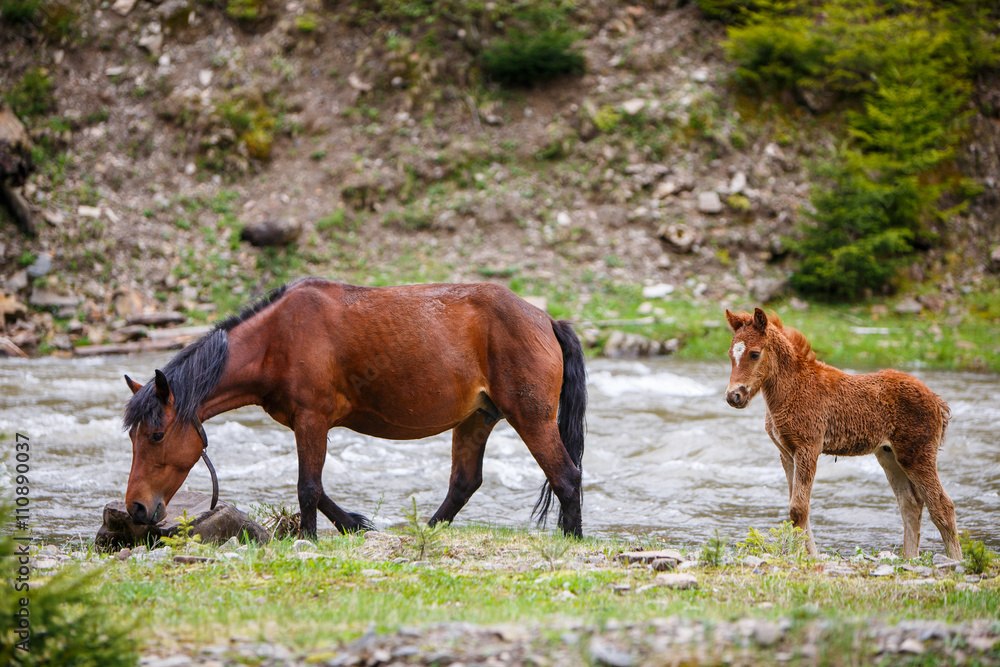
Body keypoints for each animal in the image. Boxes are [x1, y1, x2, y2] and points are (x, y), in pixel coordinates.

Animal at [122, 278, 587, 538]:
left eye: (157, 435)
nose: (136, 509)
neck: (277, 340)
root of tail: (546, 320)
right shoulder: (307, 424)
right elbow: (319, 488)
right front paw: (353, 525)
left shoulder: (312, 421)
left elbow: (308, 487)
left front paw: (310, 538)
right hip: (477, 418)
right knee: (464, 483)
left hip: (530, 418)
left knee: (566, 477)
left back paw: (572, 539)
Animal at [724, 308, 961, 559]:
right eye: (730, 354)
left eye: (755, 353)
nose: (734, 396)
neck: (792, 389)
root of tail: (937, 401)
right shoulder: (786, 453)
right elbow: (796, 508)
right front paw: (807, 556)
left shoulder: (808, 448)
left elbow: (798, 509)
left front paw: (803, 557)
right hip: (888, 455)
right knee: (910, 504)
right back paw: (910, 558)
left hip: (917, 454)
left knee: (942, 505)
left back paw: (956, 561)